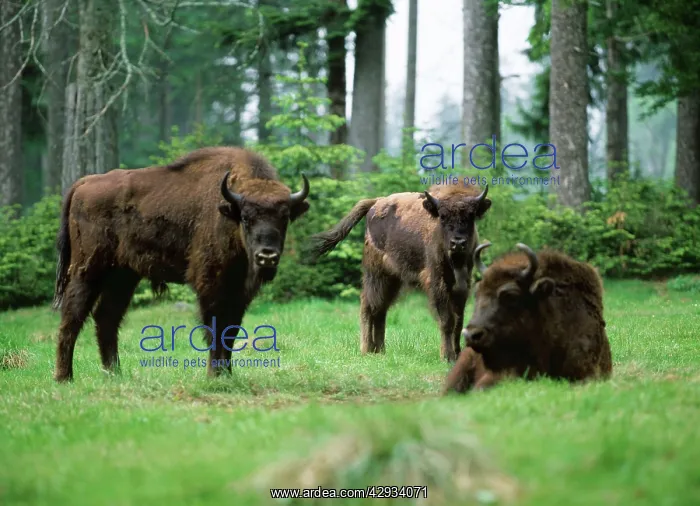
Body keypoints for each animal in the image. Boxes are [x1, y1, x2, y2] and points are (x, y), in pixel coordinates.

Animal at [52, 146, 311, 381]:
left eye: (284, 217)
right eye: (246, 218)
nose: (266, 256)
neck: (229, 213)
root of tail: (84, 183)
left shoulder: (239, 292)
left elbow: (231, 330)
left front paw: (227, 374)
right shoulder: (210, 285)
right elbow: (215, 329)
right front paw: (214, 376)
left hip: (123, 276)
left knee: (106, 317)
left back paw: (114, 373)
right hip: (88, 270)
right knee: (72, 318)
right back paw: (64, 377)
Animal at [309, 184, 491, 361]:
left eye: (471, 215)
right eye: (442, 216)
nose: (458, 243)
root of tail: (376, 202)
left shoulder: (462, 286)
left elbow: (459, 321)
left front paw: (458, 353)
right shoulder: (437, 283)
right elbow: (447, 320)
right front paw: (447, 357)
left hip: (392, 279)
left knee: (381, 308)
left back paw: (380, 350)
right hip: (375, 274)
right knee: (368, 304)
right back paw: (366, 349)